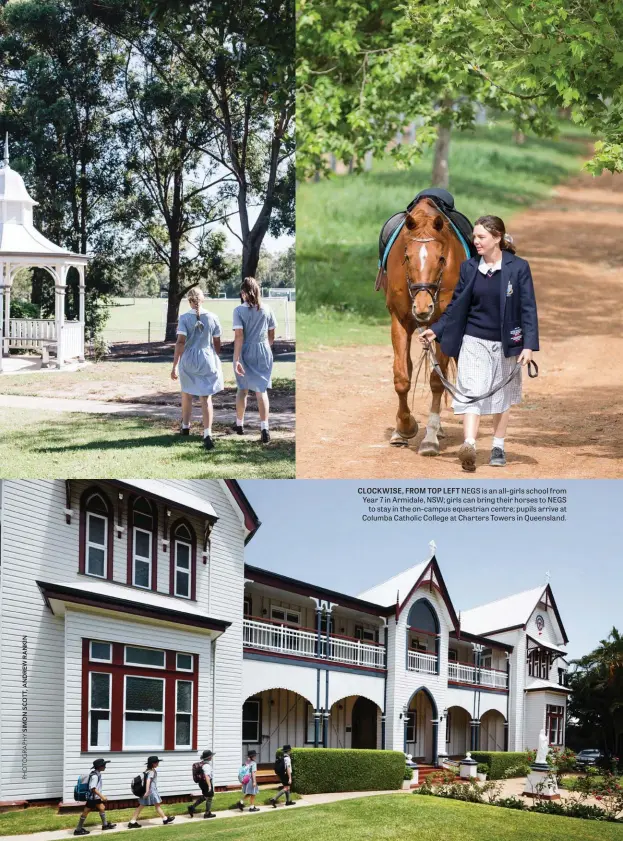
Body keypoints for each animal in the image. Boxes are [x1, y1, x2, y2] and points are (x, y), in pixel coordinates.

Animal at [386, 199, 468, 456]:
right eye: (407, 256)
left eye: (441, 258)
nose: (423, 307)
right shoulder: (399, 320)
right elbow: (402, 377)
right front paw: (405, 427)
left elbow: (436, 381)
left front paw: (430, 438)